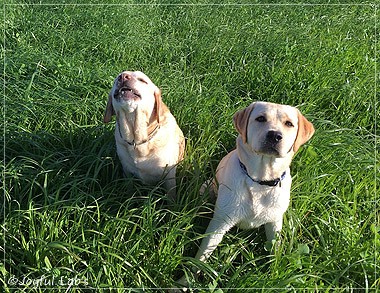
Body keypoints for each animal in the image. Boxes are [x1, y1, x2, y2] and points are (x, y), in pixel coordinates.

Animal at [104, 70, 185, 198]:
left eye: (142, 80)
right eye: (116, 79)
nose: (123, 77)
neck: (137, 141)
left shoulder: (169, 176)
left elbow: (171, 196)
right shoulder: (127, 171)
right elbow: (129, 188)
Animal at [178, 100, 314, 286]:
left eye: (289, 124)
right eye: (261, 118)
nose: (274, 135)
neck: (260, 181)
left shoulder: (274, 223)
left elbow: (275, 249)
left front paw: (274, 274)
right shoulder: (220, 223)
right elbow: (202, 255)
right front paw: (186, 280)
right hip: (205, 187)